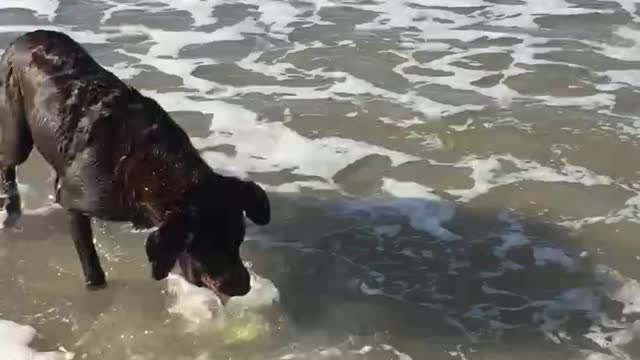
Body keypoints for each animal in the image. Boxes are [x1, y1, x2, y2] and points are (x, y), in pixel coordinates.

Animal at [0, 28, 272, 298]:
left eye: (238, 239)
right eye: (208, 245)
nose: (243, 286)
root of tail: (23, 37)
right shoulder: (73, 203)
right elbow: (90, 260)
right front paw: (95, 284)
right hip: (17, 134)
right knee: (8, 164)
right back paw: (11, 208)